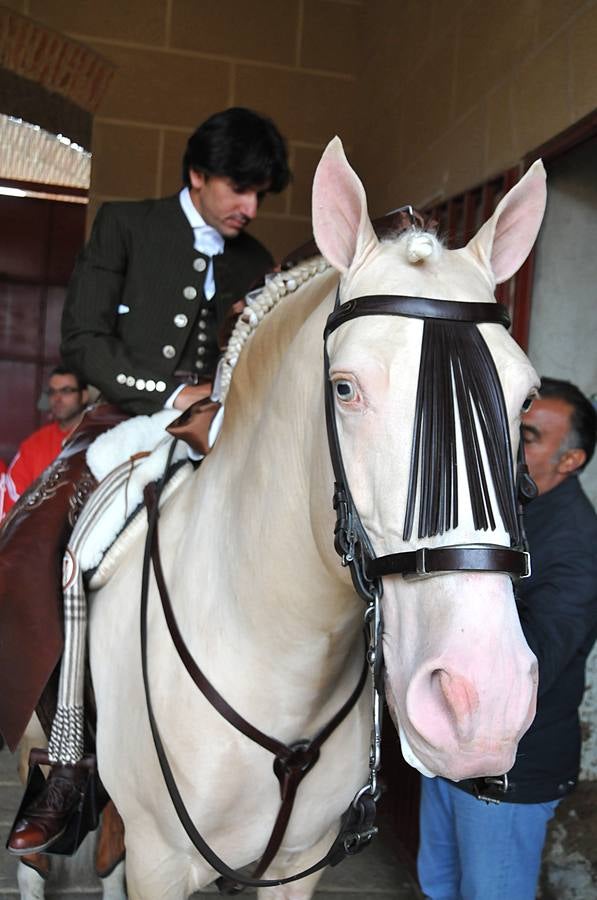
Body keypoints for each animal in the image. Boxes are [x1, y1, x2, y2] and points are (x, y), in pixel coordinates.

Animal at [80, 141, 544, 900]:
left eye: (526, 398)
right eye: (344, 389)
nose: (483, 703)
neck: (274, 653)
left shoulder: (302, 861)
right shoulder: (155, 861)